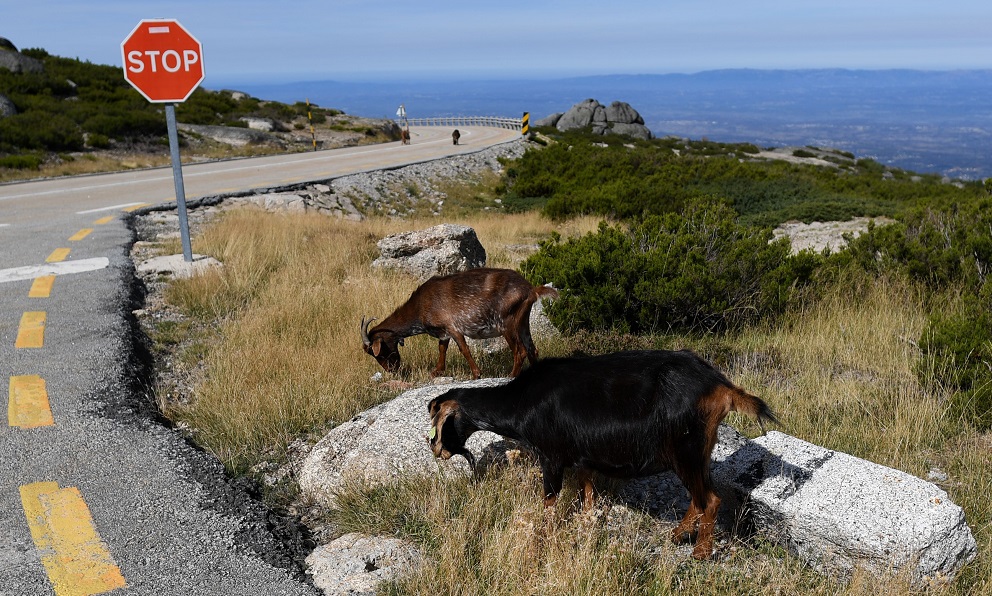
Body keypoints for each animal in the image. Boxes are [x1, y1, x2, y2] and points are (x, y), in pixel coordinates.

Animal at [360, 268, 560, 380]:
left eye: (378, 352)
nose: (392, 370)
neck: (419, 306)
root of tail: (531, 290)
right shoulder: (443, 332)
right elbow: (442, 349)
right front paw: (436, 372)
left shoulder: (453, 328)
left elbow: (464, 349)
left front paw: (477, 374)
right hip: (523, 322)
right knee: (532, 349)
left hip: (507, 322)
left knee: (521, 350)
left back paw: (511, 375)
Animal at [424, 350, 776, 560]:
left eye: (438, 422)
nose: (436, 449)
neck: (521, 400)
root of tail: (720, 387)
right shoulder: (581, 457)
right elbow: (588, 492)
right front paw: (588, 525)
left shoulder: (552, 456)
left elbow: (549, 501)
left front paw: (542, 539)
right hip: (697, 452)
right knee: (700, 496)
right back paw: (678, 535)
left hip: (685, 450)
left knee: (710, 499)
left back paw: (700, 553)